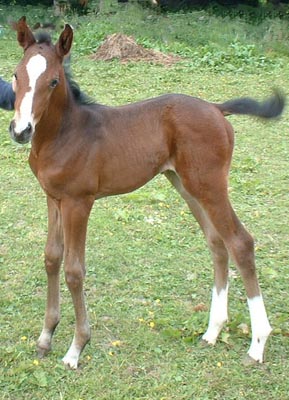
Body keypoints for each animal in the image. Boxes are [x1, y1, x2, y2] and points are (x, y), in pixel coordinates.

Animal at [9, 18, 284, 368]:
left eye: (54, 81)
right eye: (16, 74)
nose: (21, 131)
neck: (63, 134)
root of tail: (216, 108)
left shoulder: (78, 203)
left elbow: (74, 270)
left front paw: (76, 348)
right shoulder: (53, 198)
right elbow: (51, 259)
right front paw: (45, 338)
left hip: (209, 184)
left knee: (240, 242)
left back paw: (258, 342)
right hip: (186, 184)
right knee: (217, 242)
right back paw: (213, 331)